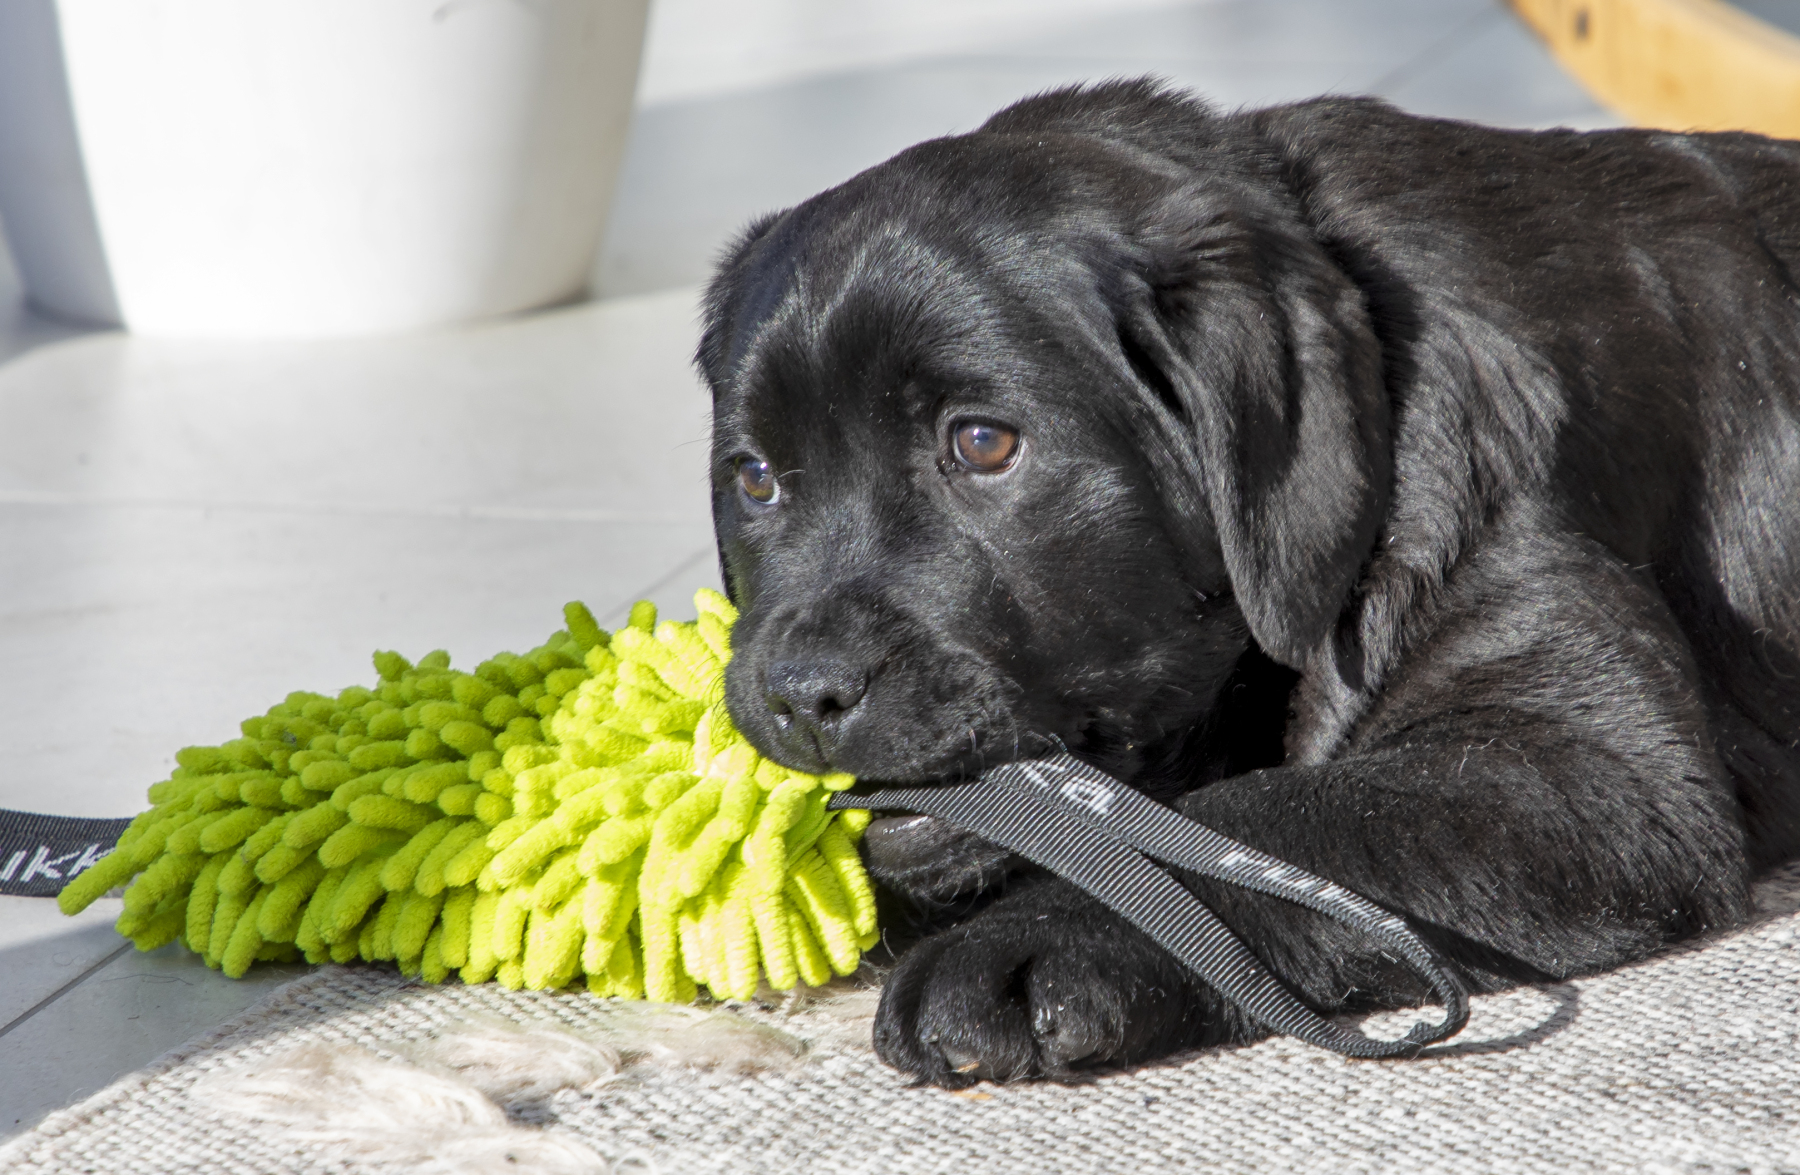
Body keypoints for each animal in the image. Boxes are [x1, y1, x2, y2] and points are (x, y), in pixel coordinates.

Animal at [694, 80, 1800, 1086]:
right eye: (755, 476)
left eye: (981, 442)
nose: (803, 691)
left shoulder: (1587, 768)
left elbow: (1263, 816)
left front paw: (1025, 940)